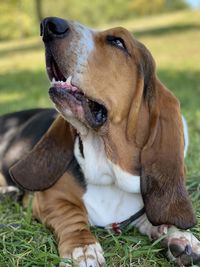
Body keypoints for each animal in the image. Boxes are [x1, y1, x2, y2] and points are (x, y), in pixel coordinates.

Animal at [0, 17, 200, 266]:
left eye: (118, 42)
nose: (49, 25)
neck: (109, 172)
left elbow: (149, 216)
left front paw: (177, 236)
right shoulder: (49, 198)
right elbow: (72, 215)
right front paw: (83, 248)